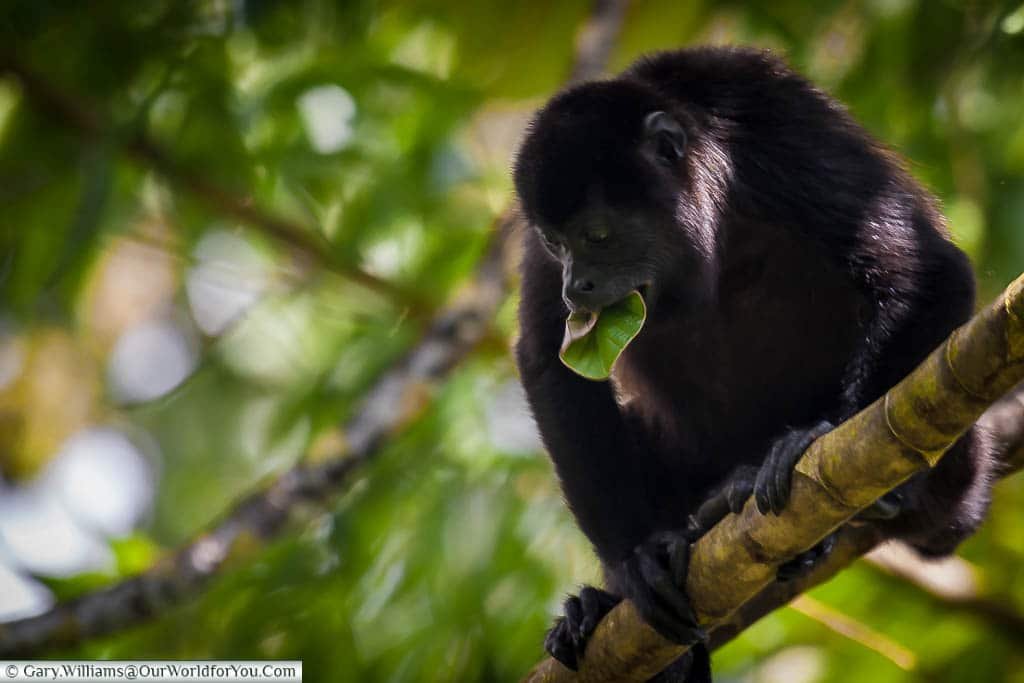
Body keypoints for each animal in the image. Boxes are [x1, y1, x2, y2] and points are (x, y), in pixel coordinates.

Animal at [516, 45, 995, 679]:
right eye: (555, 242)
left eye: (597, 234)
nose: (575, 288)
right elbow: (550, 363)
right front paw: (633, 562)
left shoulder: (777, 129)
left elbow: (928, 268)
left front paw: (816, 436)